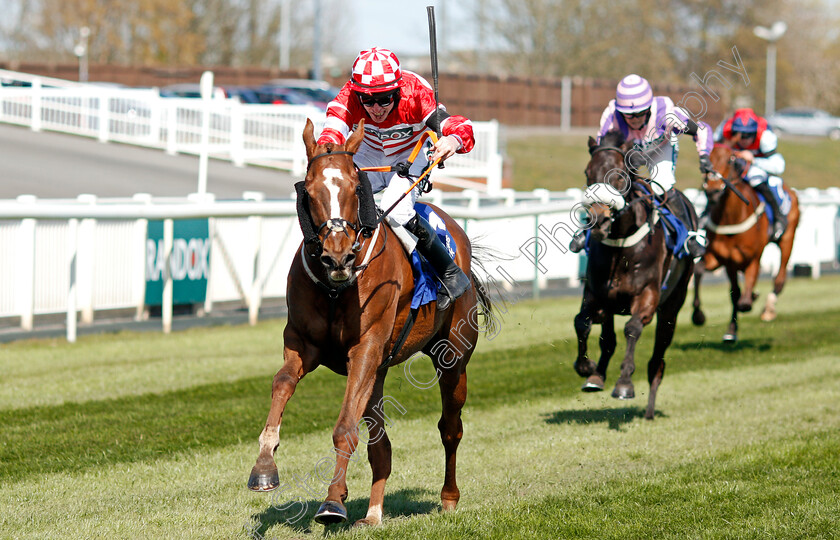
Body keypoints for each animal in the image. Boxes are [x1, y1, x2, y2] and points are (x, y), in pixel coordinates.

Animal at [246, 119, 496, 528]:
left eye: (352, 185)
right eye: (310, 190)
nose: (338, 257)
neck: (338, 288)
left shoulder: (364, 349)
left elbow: (345, 428)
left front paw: (333, 501)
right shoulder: (303, 344)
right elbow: (281, 383)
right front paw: (264, 467)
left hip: (454, 358)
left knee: (450, 428)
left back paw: (448, 498)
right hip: (378, 372)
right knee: (382, 446)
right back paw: (374, 513)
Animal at [572, 131, 696, 422]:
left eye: (619, 176)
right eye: (588, 173)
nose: (599, 220)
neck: (622, 247)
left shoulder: (648, 296)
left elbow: (632, 329)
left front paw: (624, 384)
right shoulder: (597, 293)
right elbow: (582, 322)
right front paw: (586, 367)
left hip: (673, 306)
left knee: (657, 360)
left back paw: (649, 409)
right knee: (608, 339)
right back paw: (597, 376)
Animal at [688, 142, 800, 342]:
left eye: (730, 160)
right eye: (707, 159)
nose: (713, 190)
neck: (731, 217)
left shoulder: (752, 259)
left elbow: (744, 301)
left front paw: (752, 296)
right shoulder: (723, 259)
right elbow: (701, 271)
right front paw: (700, 316)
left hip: (788, 238)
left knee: (779, 279)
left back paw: (768, 309)